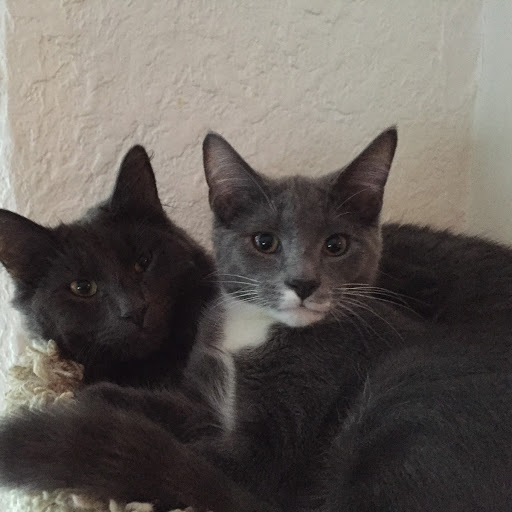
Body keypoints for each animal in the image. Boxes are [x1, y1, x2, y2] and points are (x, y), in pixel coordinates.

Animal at [1, 129, 512, 512]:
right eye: (82, 288)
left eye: (336, 245)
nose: (303, 282)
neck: (253, 330)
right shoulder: (202, 392)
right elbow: (176, 410)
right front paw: (91, 395)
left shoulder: (263, 459)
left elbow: (191, 461)